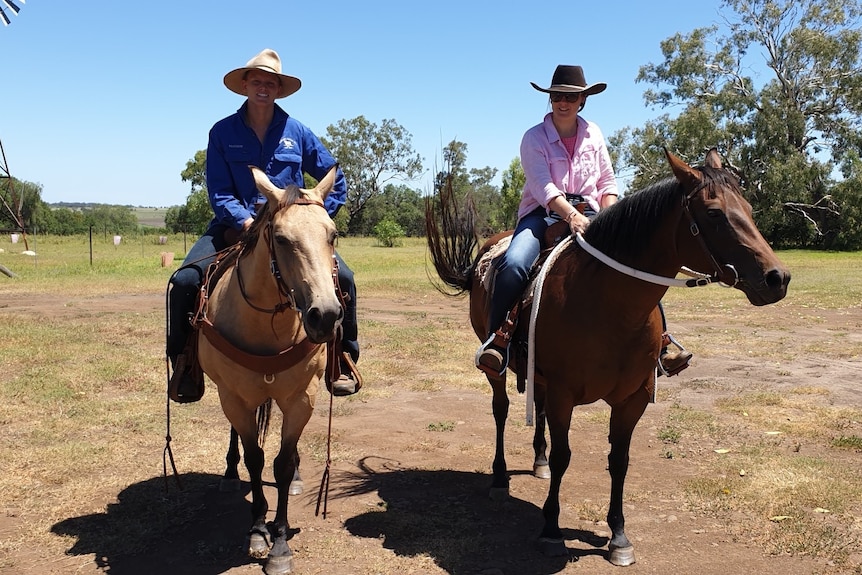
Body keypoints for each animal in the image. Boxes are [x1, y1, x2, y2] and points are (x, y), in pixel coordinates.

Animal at [196, 164, 344, 572]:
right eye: (281, 238)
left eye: (333, 235)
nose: (325, 315)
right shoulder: (234, 397)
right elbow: (256, 459)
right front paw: (259, 530)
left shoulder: (301, 397)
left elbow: (281, 462)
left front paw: (280, 542)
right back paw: (230, 474)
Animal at [426, 148, 788, 568]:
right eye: (713, 213)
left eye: (748, 207)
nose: (777, 278)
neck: (609, 304)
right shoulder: (565, 393)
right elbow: (565, 455)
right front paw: (551, 530)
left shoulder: (632, 398)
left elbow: (619, 461)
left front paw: (618, 537)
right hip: (498, 373)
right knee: (500, 410)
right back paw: (500, 477)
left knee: (539, 412)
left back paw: (538, 463)